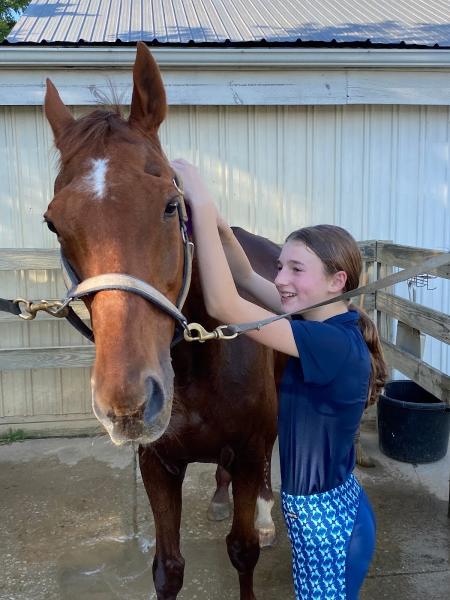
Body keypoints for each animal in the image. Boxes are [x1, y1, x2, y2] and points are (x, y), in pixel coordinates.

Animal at [42, 42, 282, 600]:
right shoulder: (157, 464)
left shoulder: (249, 449)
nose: (128, 404)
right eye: (53, 223)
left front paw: (253, 527)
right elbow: (167, 567)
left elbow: (243, 551)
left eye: (172, 206)